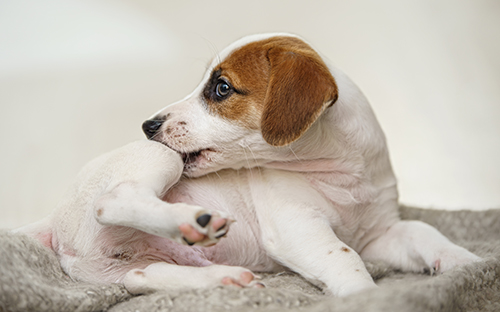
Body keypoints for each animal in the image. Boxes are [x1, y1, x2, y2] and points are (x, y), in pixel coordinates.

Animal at [18, 33, 480, 296]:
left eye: (222, 88)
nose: (148, 125)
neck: (342, 174)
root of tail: (54, 220)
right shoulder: (298, 228)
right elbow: (344, 257)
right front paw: (366, 297)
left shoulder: (380, 234)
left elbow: (423, 231)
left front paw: (467, 263)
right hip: (157, 160)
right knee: (113, 200)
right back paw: (192, 221)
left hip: (125, 267)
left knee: (142, 278)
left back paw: (223, 279)